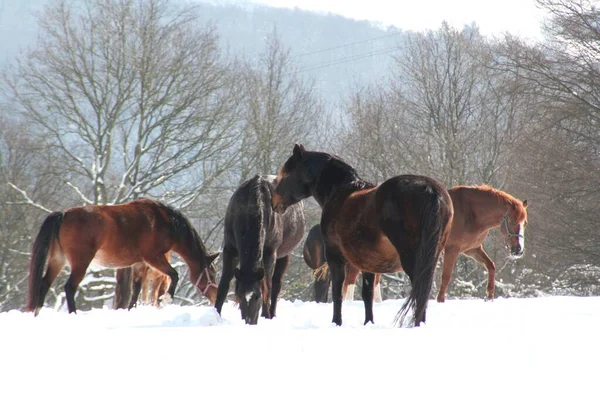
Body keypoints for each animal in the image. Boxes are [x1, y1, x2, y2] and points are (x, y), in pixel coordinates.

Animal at [25, 198, 220, 316]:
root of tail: (63, 214)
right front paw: (166, 299)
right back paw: (73, 313)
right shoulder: (153, 258)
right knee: (69, 287)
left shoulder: (140, 264)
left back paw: (37, 313)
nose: (217, 296)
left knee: (44, 284)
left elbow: (136, 289)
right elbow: (174, 275)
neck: (164, 221)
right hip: (80, 263)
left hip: (58, 260)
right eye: (212, 273)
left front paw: (131, 309)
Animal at [214, 175, 304, 324]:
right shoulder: (230, 250)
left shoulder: (270, 252)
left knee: (276, 284)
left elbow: (267, 285)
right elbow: (223, 284)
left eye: (258, 296)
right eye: (240, 295)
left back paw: (272, 314)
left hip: (284, 255)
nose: (249, 322)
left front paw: (266, 315)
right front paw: (216, 314)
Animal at [270, 145, 450, 326]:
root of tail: (431, 189)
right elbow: (367, 295)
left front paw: (337, 322)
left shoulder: (335, 257)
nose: (274, 202)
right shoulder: (368, 263)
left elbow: (337, 292)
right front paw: (368, 322)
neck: (340, 194)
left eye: (285, 174)